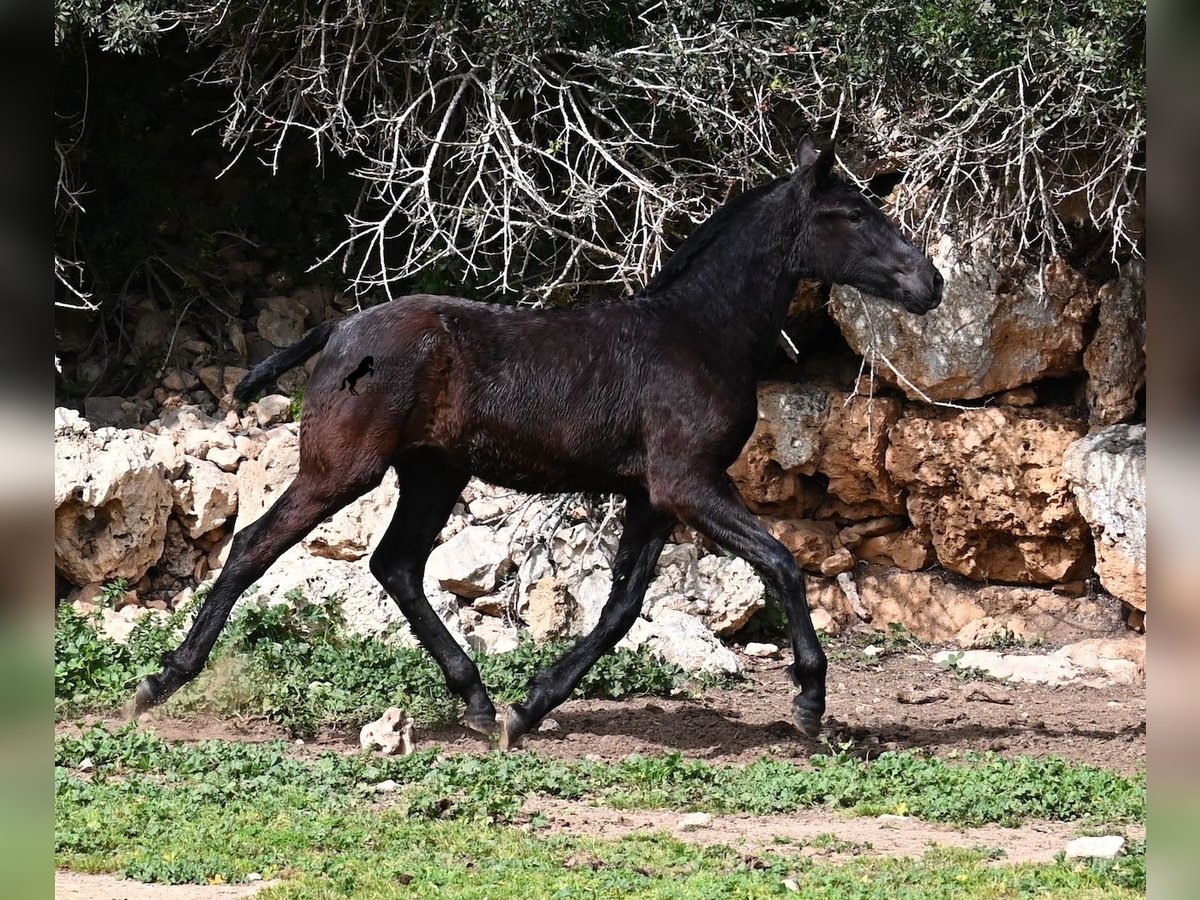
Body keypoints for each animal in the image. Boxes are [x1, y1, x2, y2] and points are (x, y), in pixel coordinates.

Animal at [131, 137, 936, 748]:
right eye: (850, 212)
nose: (928, 281)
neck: (698, 333)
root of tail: (341, 330)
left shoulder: (652, 495)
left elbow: (620, 608)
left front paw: (530, 706)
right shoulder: (688, 483)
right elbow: (782, 562)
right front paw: (809, 701)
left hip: (434, 474)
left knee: (397, 565)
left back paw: (480, 704)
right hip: (343, 470)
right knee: (255, 546)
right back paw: (161, 680)